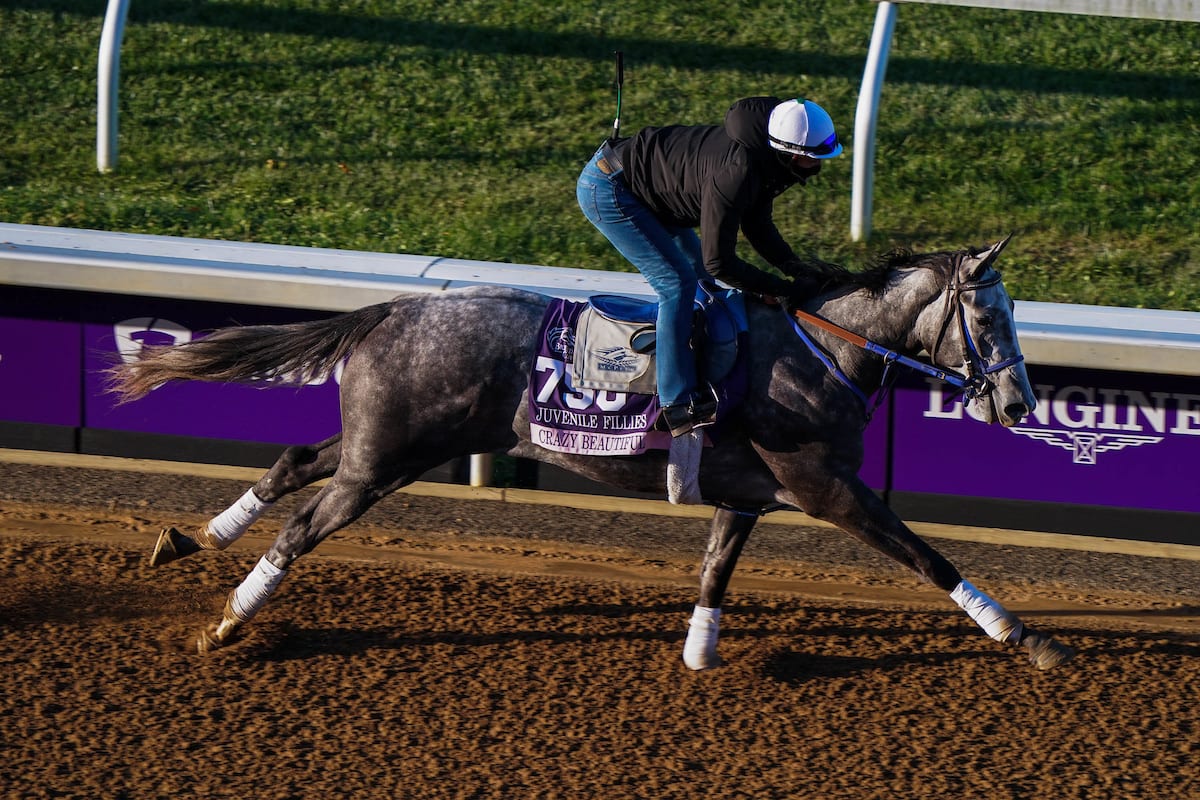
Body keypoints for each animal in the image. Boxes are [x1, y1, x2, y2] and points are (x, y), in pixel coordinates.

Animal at [108, 236, 1075, 671]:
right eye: (989, 318)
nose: (1020, 402)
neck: (819, 351)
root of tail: (395, 309)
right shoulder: (825, 484)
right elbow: (925, 554)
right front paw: (1025, 638)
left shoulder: (748, 492)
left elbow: (716, 569)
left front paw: (699, 654)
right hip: (385, 461)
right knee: (304, 526)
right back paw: (230, 616)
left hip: (391, 445)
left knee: (295, 461)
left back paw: (194, 537)